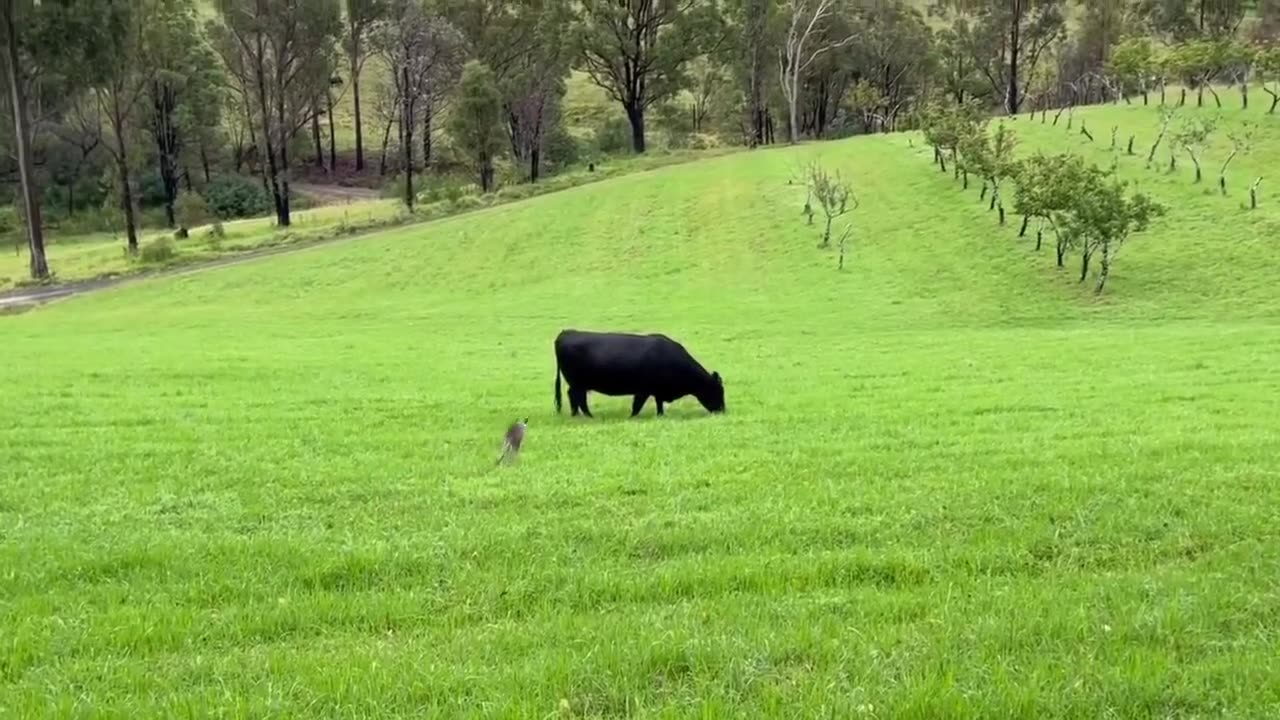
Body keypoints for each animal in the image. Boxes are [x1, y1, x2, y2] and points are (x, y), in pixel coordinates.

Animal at [553, 329, 725, 418]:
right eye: (717, 391)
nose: (722, 411)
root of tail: (566, 332)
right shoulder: (643, 390)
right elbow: (637, 406)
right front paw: (632, 417)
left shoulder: (657, 390)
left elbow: (658, 404)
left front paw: (660, 415)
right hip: (578, 383)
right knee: (578, 398)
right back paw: (588, 415)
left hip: (578, 384)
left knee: (573, 396)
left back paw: (577, 414)